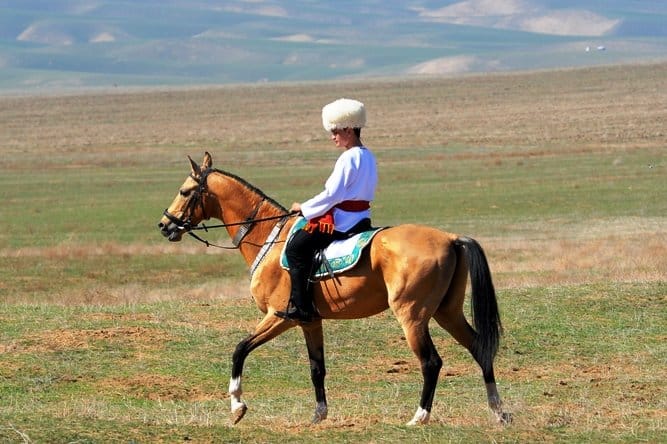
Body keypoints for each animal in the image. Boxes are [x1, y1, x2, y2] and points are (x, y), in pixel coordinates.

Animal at [158, 152, 511, 426]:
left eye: (185, 191)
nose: (164, 225)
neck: (270, 238)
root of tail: (450, 238)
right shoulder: (310, 321)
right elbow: (317, 368)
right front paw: (319, 414)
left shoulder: (280, 316)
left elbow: (240, 349)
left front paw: (237, 406)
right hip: (446, 313)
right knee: (479, 348)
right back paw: (498, 412)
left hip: (412, 317)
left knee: (431, 362)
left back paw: (420, 417)